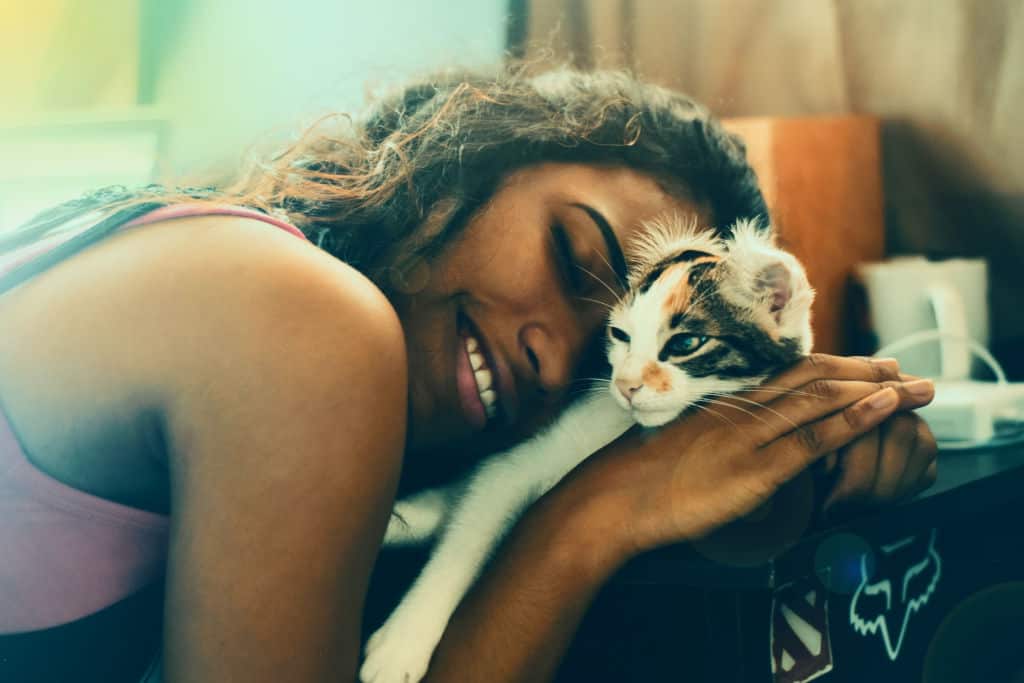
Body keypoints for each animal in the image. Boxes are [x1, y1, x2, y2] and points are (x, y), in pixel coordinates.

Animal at [360, 216, 815, 679]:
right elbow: (467, 536)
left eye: (686, 344)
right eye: (620, 335)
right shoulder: (516, 462)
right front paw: (401, 645)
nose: (624, 385)